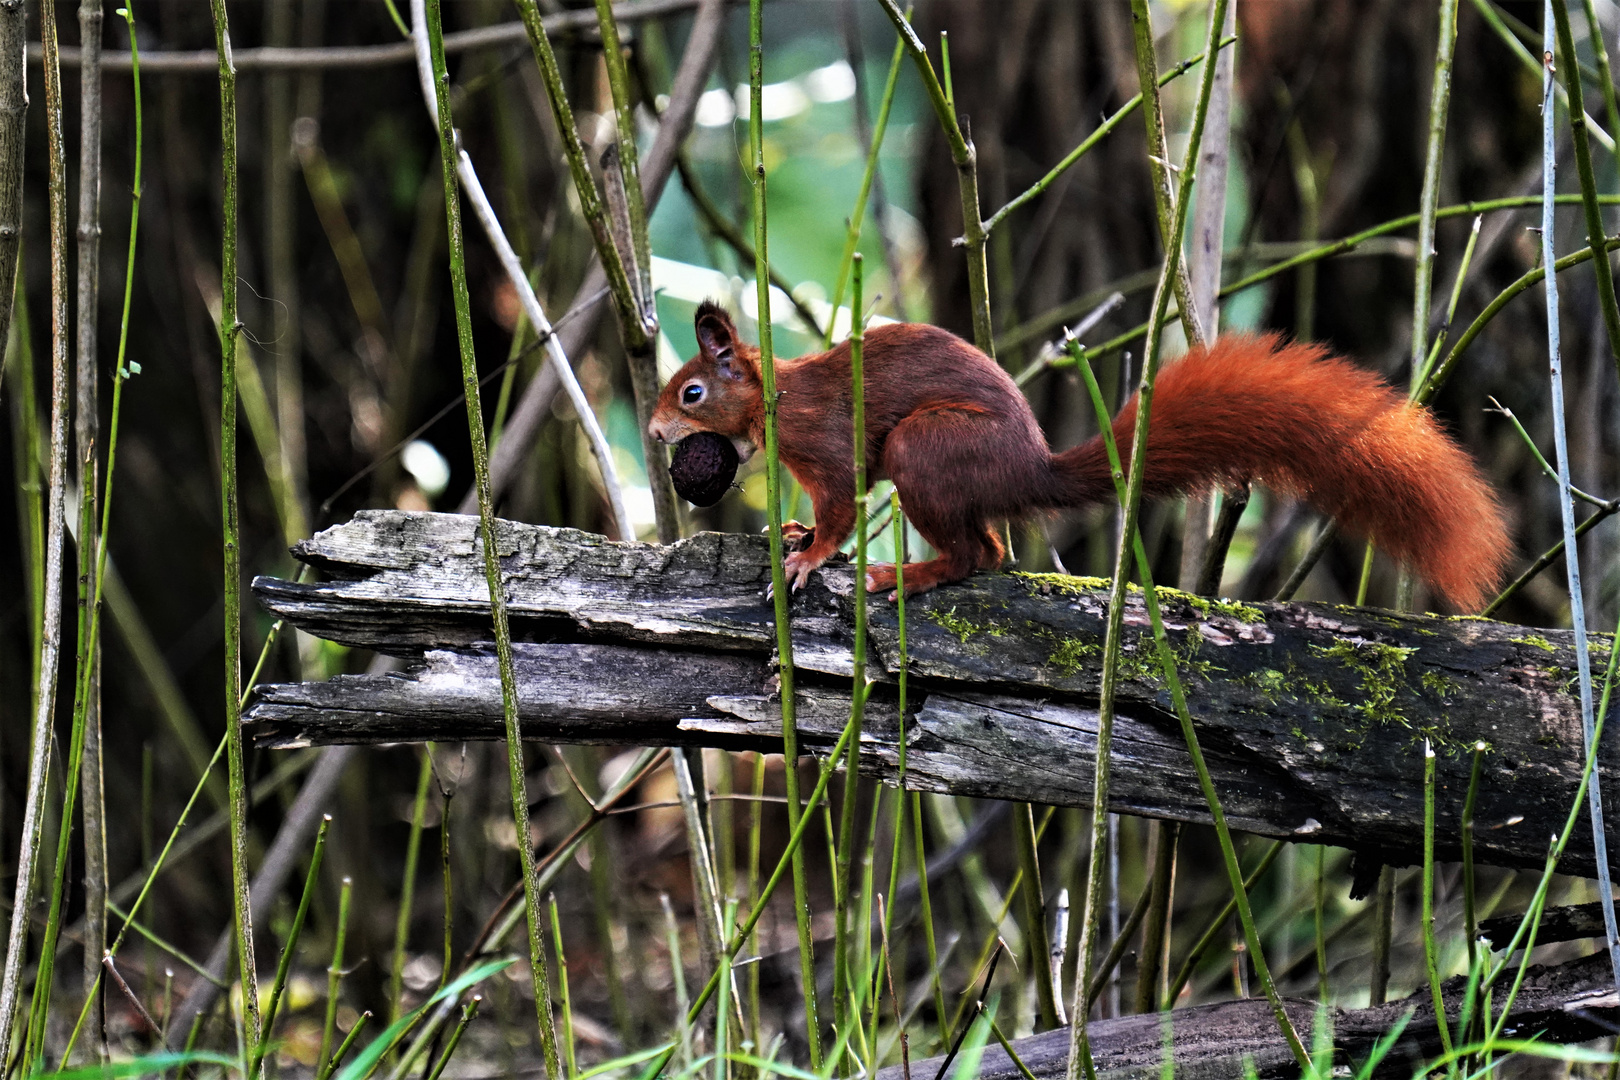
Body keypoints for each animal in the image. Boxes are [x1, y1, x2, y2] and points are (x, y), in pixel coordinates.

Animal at [648, 299, 1516, 612]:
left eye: (690, 392)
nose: (656, 435)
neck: (772, 403)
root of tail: (1030, 466)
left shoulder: (825, 443)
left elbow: (838, 502)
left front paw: (808, 554)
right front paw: (792, 533)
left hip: (926, 448)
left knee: (978, 556)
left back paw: (908, 575)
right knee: (991, 550)